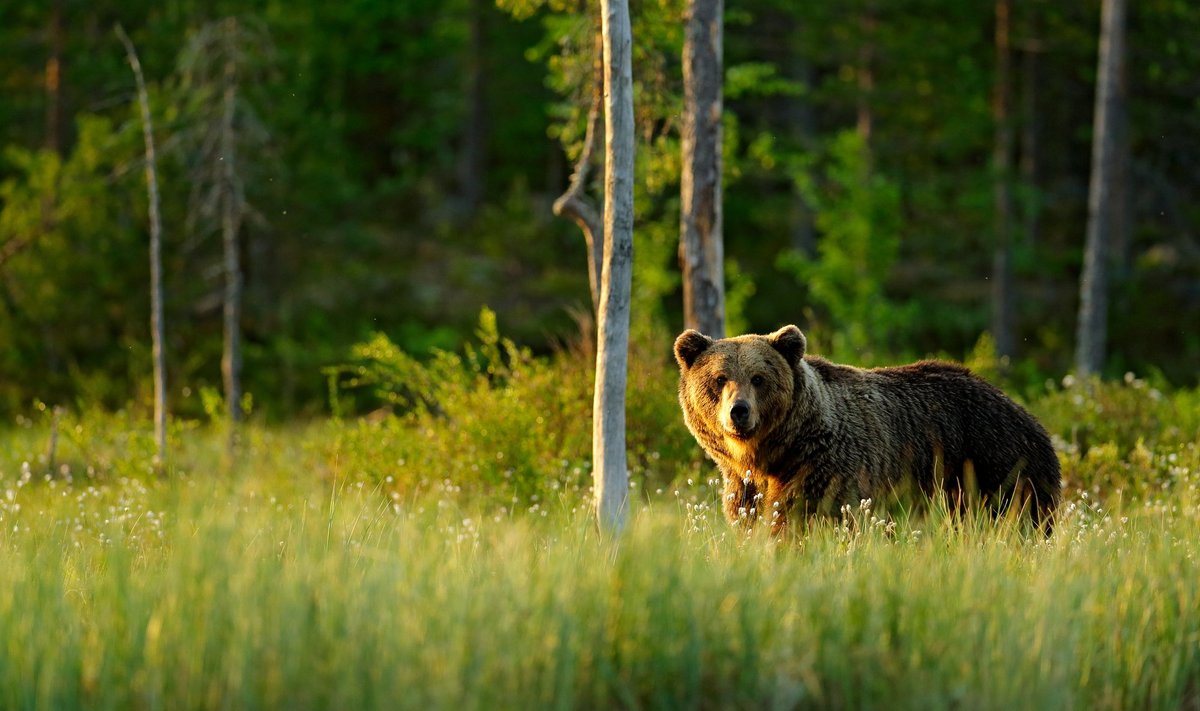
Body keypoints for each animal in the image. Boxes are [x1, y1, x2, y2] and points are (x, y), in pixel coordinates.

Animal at [676, 324, 1060, 530]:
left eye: (758, 378)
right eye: (719, 378)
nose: (738, 412)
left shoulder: (825, 469)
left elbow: (802, 518)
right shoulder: (744, 486)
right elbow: (749, 518)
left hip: (995, 467)